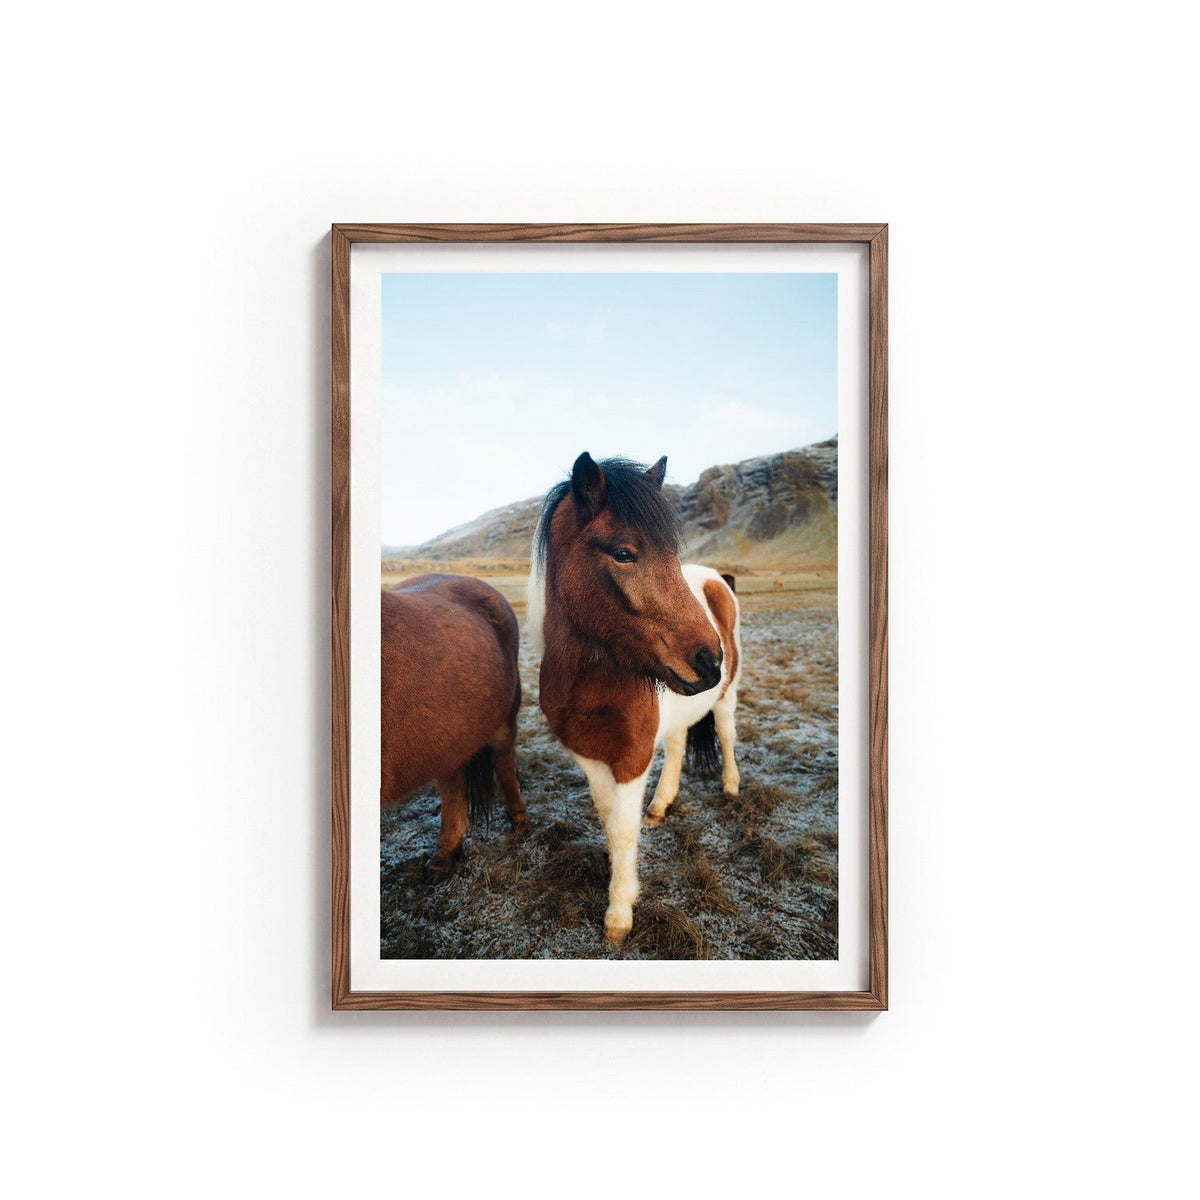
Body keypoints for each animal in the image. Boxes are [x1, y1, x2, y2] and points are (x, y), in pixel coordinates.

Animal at [380, 573, 528, 881]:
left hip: (503, 722)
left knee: (503, 762)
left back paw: (519, 820)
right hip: (448, 738)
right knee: (453, 785)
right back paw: (444, 857)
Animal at [529, 452, 742, 946]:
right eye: (623, 553)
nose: (710, 661)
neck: (590, 682)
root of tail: (717, 579)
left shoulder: (632, 756)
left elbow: (623, 829)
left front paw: (620, 910)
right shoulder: (588, 753)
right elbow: (608, 818)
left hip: (727, 697)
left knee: (726, 734)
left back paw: (731, 786)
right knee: (680, 746)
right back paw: (661, 805)